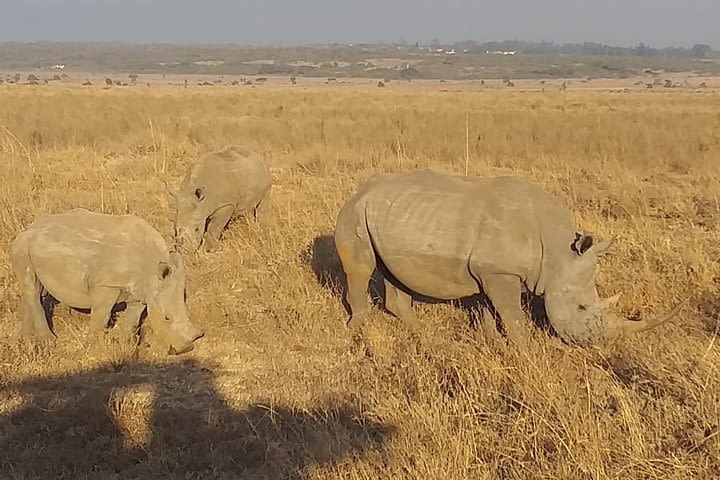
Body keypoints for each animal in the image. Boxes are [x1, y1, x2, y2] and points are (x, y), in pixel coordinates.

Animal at [9, 208, 204, 354]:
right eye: (167, 318)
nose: (184, 350)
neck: (152, 266)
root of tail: (28, 227)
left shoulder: (142, 290)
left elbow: (133, 317)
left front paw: (124, 344)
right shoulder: (106, 284)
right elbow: (101, 315)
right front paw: (96, 348)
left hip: (40, 247)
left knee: (36, 290)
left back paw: (25, 340)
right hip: (22, 245)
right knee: (32, 287)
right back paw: (48, 342)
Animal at [334, 171, 684, 344]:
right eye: (582, 308)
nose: (602, 344)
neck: (557, 254)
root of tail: (358, 190)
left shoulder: (490, 272)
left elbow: (492, 311)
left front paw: (492, 341)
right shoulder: (499, 273)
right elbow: (513, 316)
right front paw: (526, 349)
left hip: (394, 214)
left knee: (394, 272)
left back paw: (424, 335)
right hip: (355, 213)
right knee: (362, 270)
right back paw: (357, 331)